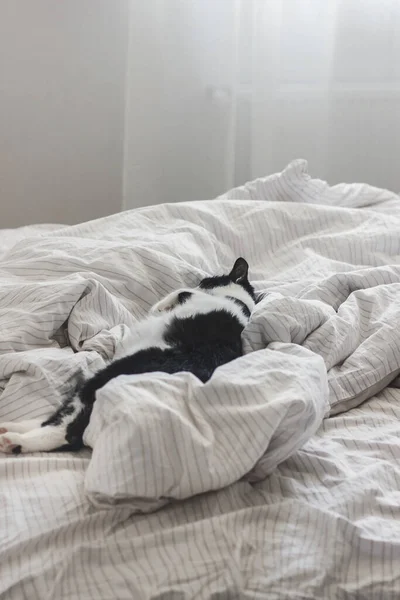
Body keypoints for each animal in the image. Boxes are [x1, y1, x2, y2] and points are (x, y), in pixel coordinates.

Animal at [0, 255, 256, 452]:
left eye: (206, 281)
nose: (199, 282)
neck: (241, 304)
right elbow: (180, 294)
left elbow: (179, 293)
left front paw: (161, 305)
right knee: (61, 419)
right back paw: (12, 428)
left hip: (106, 375)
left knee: (68, 431)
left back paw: (14, 439)